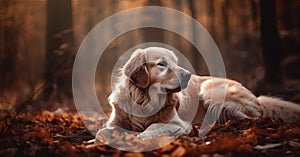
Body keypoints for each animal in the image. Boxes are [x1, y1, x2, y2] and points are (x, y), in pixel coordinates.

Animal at [95, 47, 300, 144]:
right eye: (162, 64)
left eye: (176, 62)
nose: (187, 74)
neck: (144, 101)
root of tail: (257, 98)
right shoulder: (115, 121)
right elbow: (101, 132)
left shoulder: (177, 123)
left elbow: (152, 127)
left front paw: (140, 137)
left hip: (210, 89)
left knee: (249, 117)